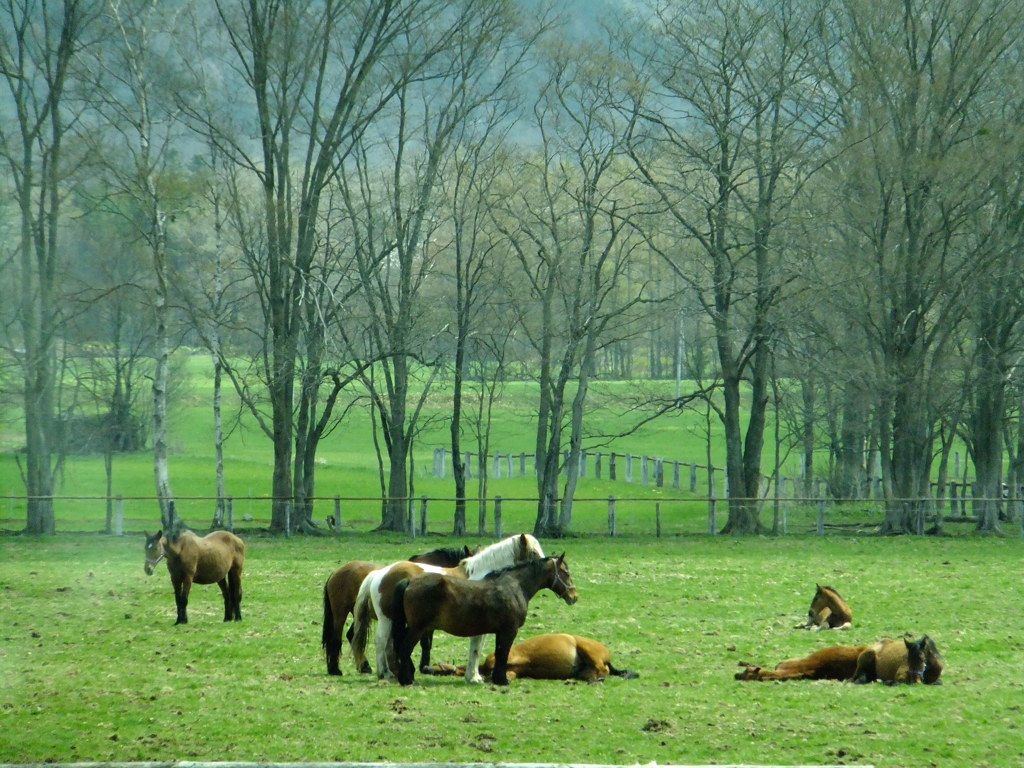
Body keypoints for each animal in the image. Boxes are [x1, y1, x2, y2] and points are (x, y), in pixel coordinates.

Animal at [319, 544, 471, 675]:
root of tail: (335, 573)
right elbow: (425, 644)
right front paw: (424, 667)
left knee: (352, 635)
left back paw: (364, 666)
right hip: (340, 614)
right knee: (336, 638)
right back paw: (335, 669)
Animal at [350, 536, 544, 684]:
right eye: (534, 553)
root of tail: (380, 573)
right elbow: (476, 649)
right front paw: (474, 677)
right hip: (387, 620)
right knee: (381, 641)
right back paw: (385, 672)